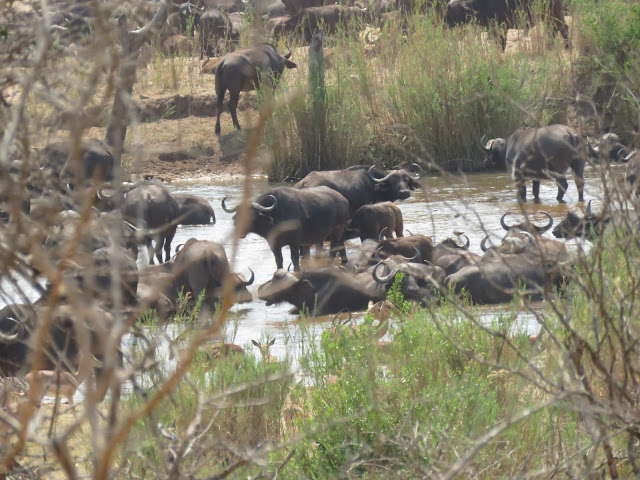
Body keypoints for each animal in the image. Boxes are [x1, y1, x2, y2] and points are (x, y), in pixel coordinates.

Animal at [221, 186, 350, 272]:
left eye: (250, 216)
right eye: (237, 216)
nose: (239, 231)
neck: (275, 218)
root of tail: (344, 200)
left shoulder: (295, 242)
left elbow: (295, 259)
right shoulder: (274, 245)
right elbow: (279, 260)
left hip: (337, 231)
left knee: (334, 249)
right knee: (341, 247)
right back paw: (344, 262)